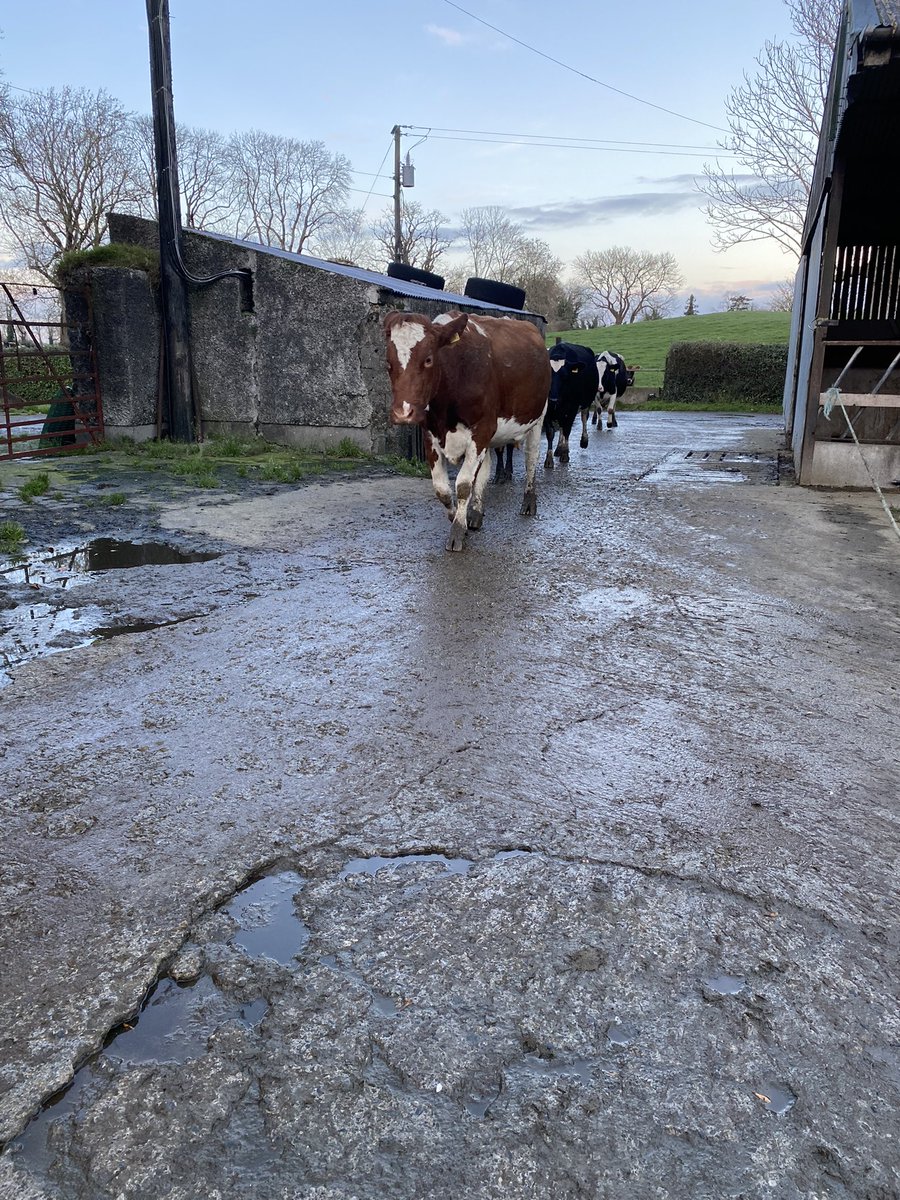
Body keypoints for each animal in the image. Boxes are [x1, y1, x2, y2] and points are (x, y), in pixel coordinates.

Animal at [383, 310, 551, 552]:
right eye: (388, 363)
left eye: (428, 359)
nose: (403, 412)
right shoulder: (430, 436)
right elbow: (442, 489)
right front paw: (458, 519)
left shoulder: (480, 430)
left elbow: (462, 485)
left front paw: (457, 532)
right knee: (486, 468)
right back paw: (476, 513)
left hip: (537, 419)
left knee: (531, 459)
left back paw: (529, 502)